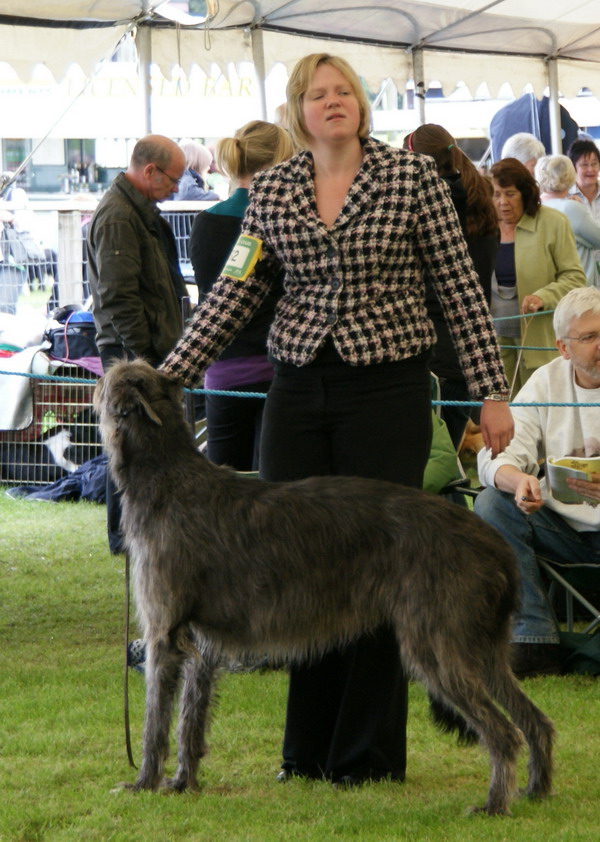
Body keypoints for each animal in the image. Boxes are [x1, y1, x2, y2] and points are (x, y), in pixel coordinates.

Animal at [92, 358, 552, 812]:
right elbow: (190, 720)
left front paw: (143, 782)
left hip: (437, 642)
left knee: (503, 732)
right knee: (535, 720)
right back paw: (536, 789)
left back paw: (494, 804)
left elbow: (154, 721)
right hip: (483, 645)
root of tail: (495, 544)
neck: (167, 474)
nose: (94, 378)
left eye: (109, 379)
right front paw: (182, 782)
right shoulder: (201, 643)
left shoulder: (163, 634)